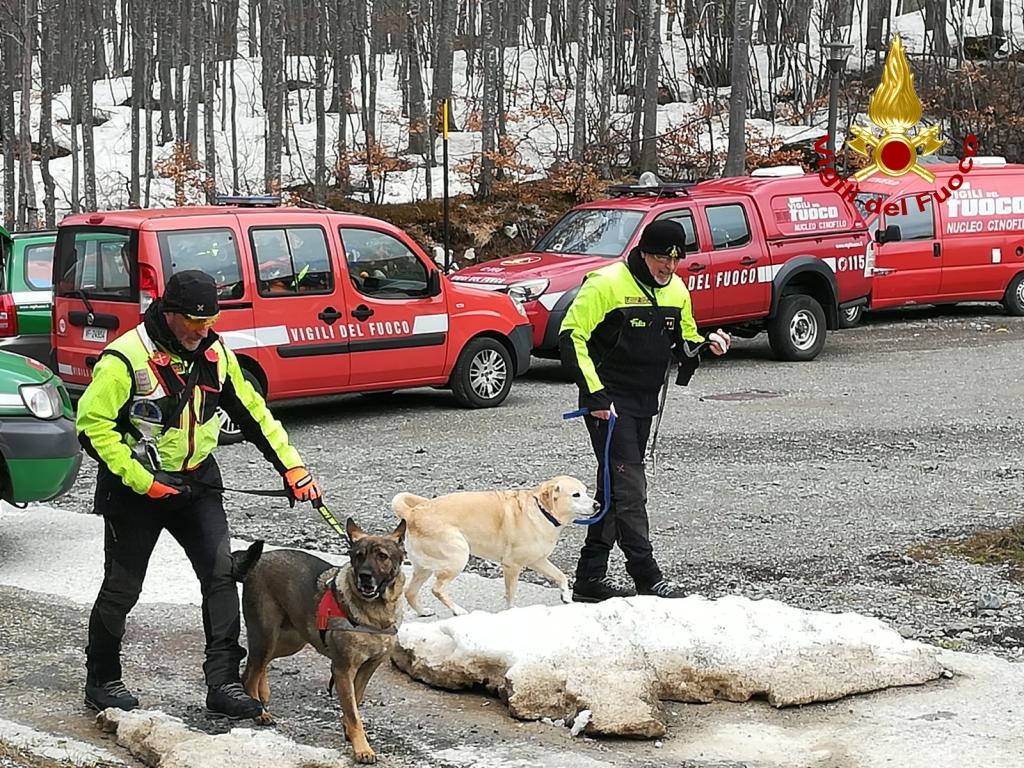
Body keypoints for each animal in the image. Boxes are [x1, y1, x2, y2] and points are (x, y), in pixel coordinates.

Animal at [232, 520, 407, 765]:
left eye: (382, 556)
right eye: (358, 556)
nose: (364, 576)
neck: (376, 613)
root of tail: (258, 562)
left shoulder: (367, 668)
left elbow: (355, 703)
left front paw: (348, 729)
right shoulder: (343, 669)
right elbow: (353, 714)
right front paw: (362, 749)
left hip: (289, 640)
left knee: (255, 666)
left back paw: (261, 693)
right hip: (266, 635)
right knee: (250, 674)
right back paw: (260, 712)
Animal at [391, 479, 598, 618]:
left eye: (586, 491)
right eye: (576, 495)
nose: (598, 504)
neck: (542, 511)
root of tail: (413, 513)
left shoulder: (538, 561)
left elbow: (561, 576)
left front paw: (566, 597)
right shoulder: (512, 566)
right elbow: (510, 592)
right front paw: (511, 610)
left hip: (424, 568)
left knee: (410, 591)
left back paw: (423, 611)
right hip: (457, 556)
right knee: (437, 589)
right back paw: (458, 610)